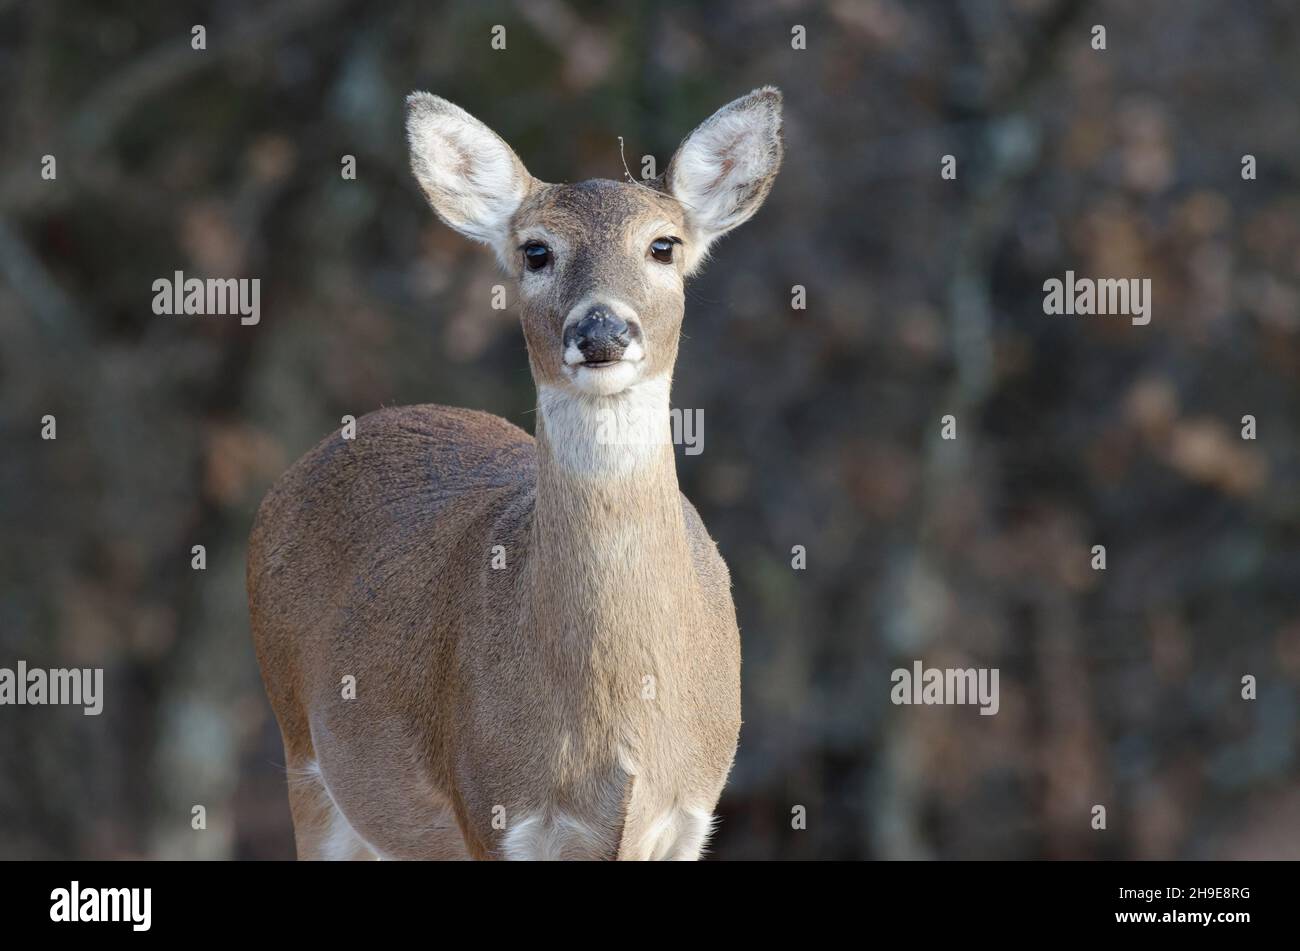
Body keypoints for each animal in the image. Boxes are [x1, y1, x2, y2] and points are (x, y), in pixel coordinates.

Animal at [246, 87, 783, 860]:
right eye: (536, 251)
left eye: (664, 245)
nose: (601, 329)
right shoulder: (489, 807)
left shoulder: (693, 810)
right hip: (304, 759)